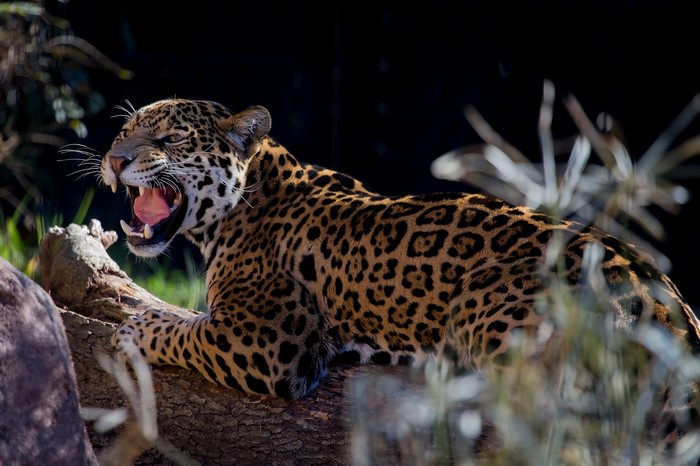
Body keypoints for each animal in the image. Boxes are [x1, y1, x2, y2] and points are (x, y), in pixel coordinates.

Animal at [99, 98, 700, 451]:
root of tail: (667, 308)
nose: (114, 160)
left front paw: (134, 329)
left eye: (170, 140)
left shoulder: (271, 340)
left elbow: (185, 330)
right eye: (123, 131)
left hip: (491, 314)